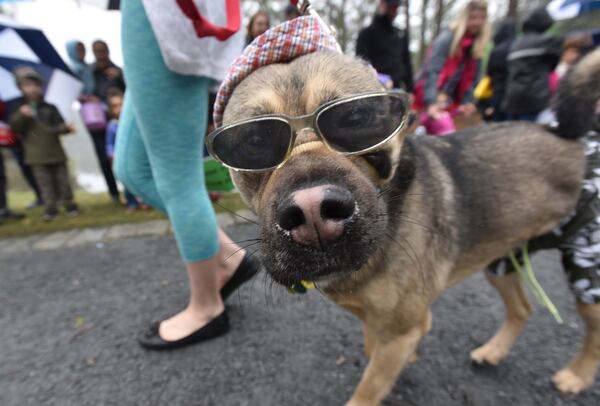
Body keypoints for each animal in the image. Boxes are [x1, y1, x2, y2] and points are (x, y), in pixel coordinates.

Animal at [216, 49, 600, 404]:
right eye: (253, 141)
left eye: (356, 118)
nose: (313, 214)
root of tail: (580, 139)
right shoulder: (379, 325)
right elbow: (372, 349)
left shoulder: (401, 331)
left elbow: (369, 388)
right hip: (501, 259)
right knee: (522, 308)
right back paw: (493, 351)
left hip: (586, 269)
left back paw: (576, 376)